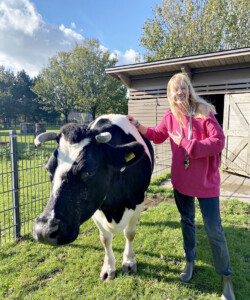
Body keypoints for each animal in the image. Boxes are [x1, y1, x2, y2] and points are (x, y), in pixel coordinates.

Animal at [32, 115, 154, 282]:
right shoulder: (95, 208)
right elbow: (105, 238)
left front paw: (129, 261)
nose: (43, 230)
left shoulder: (138, 200)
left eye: (89, 171)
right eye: (48, 169)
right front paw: (109, 268)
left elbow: (130, 233)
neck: (114, 208)